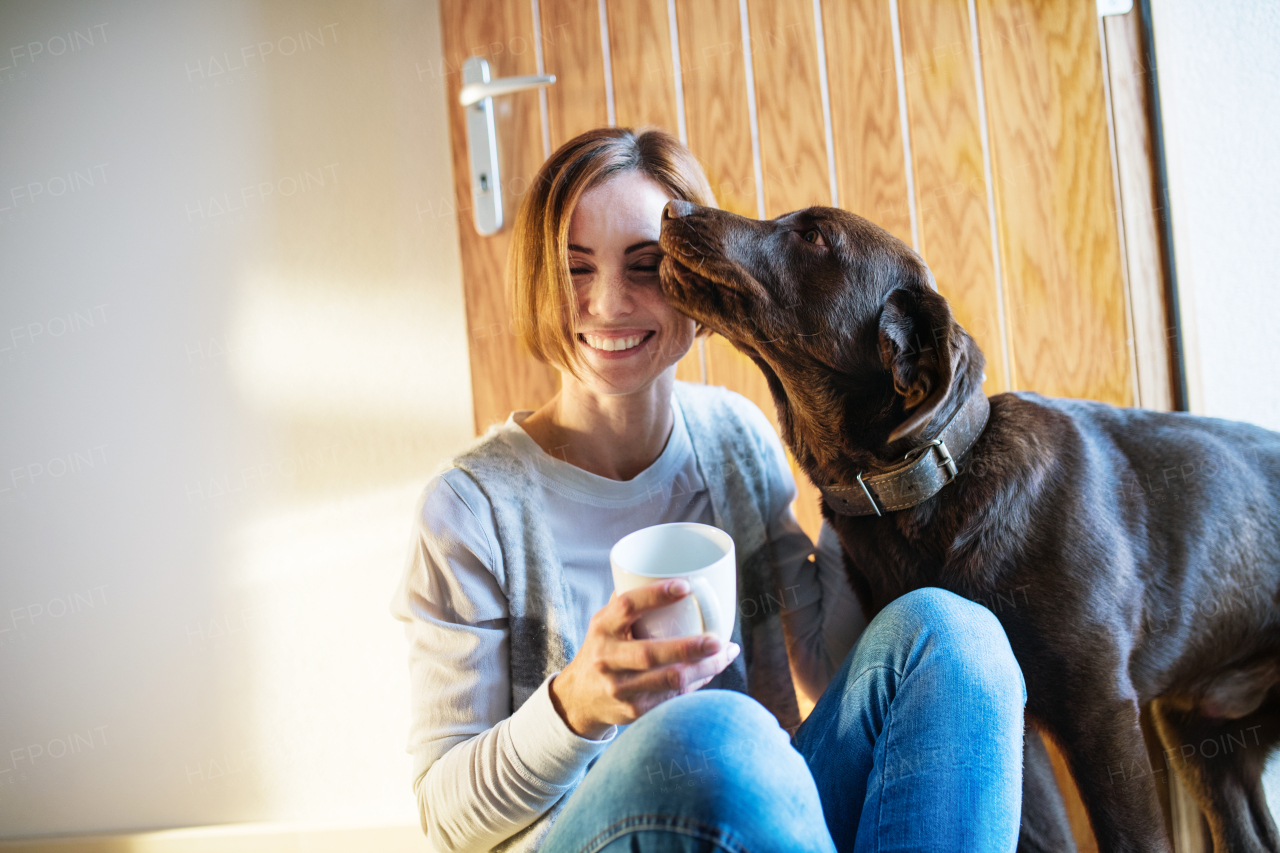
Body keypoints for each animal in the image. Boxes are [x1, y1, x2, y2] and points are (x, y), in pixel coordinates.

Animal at [660, 201, 1280, 850]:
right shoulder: (1020, 726)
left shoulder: (1100, 714)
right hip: (1205, 738)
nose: (674, 207)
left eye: (814, 235)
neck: (934, 483)